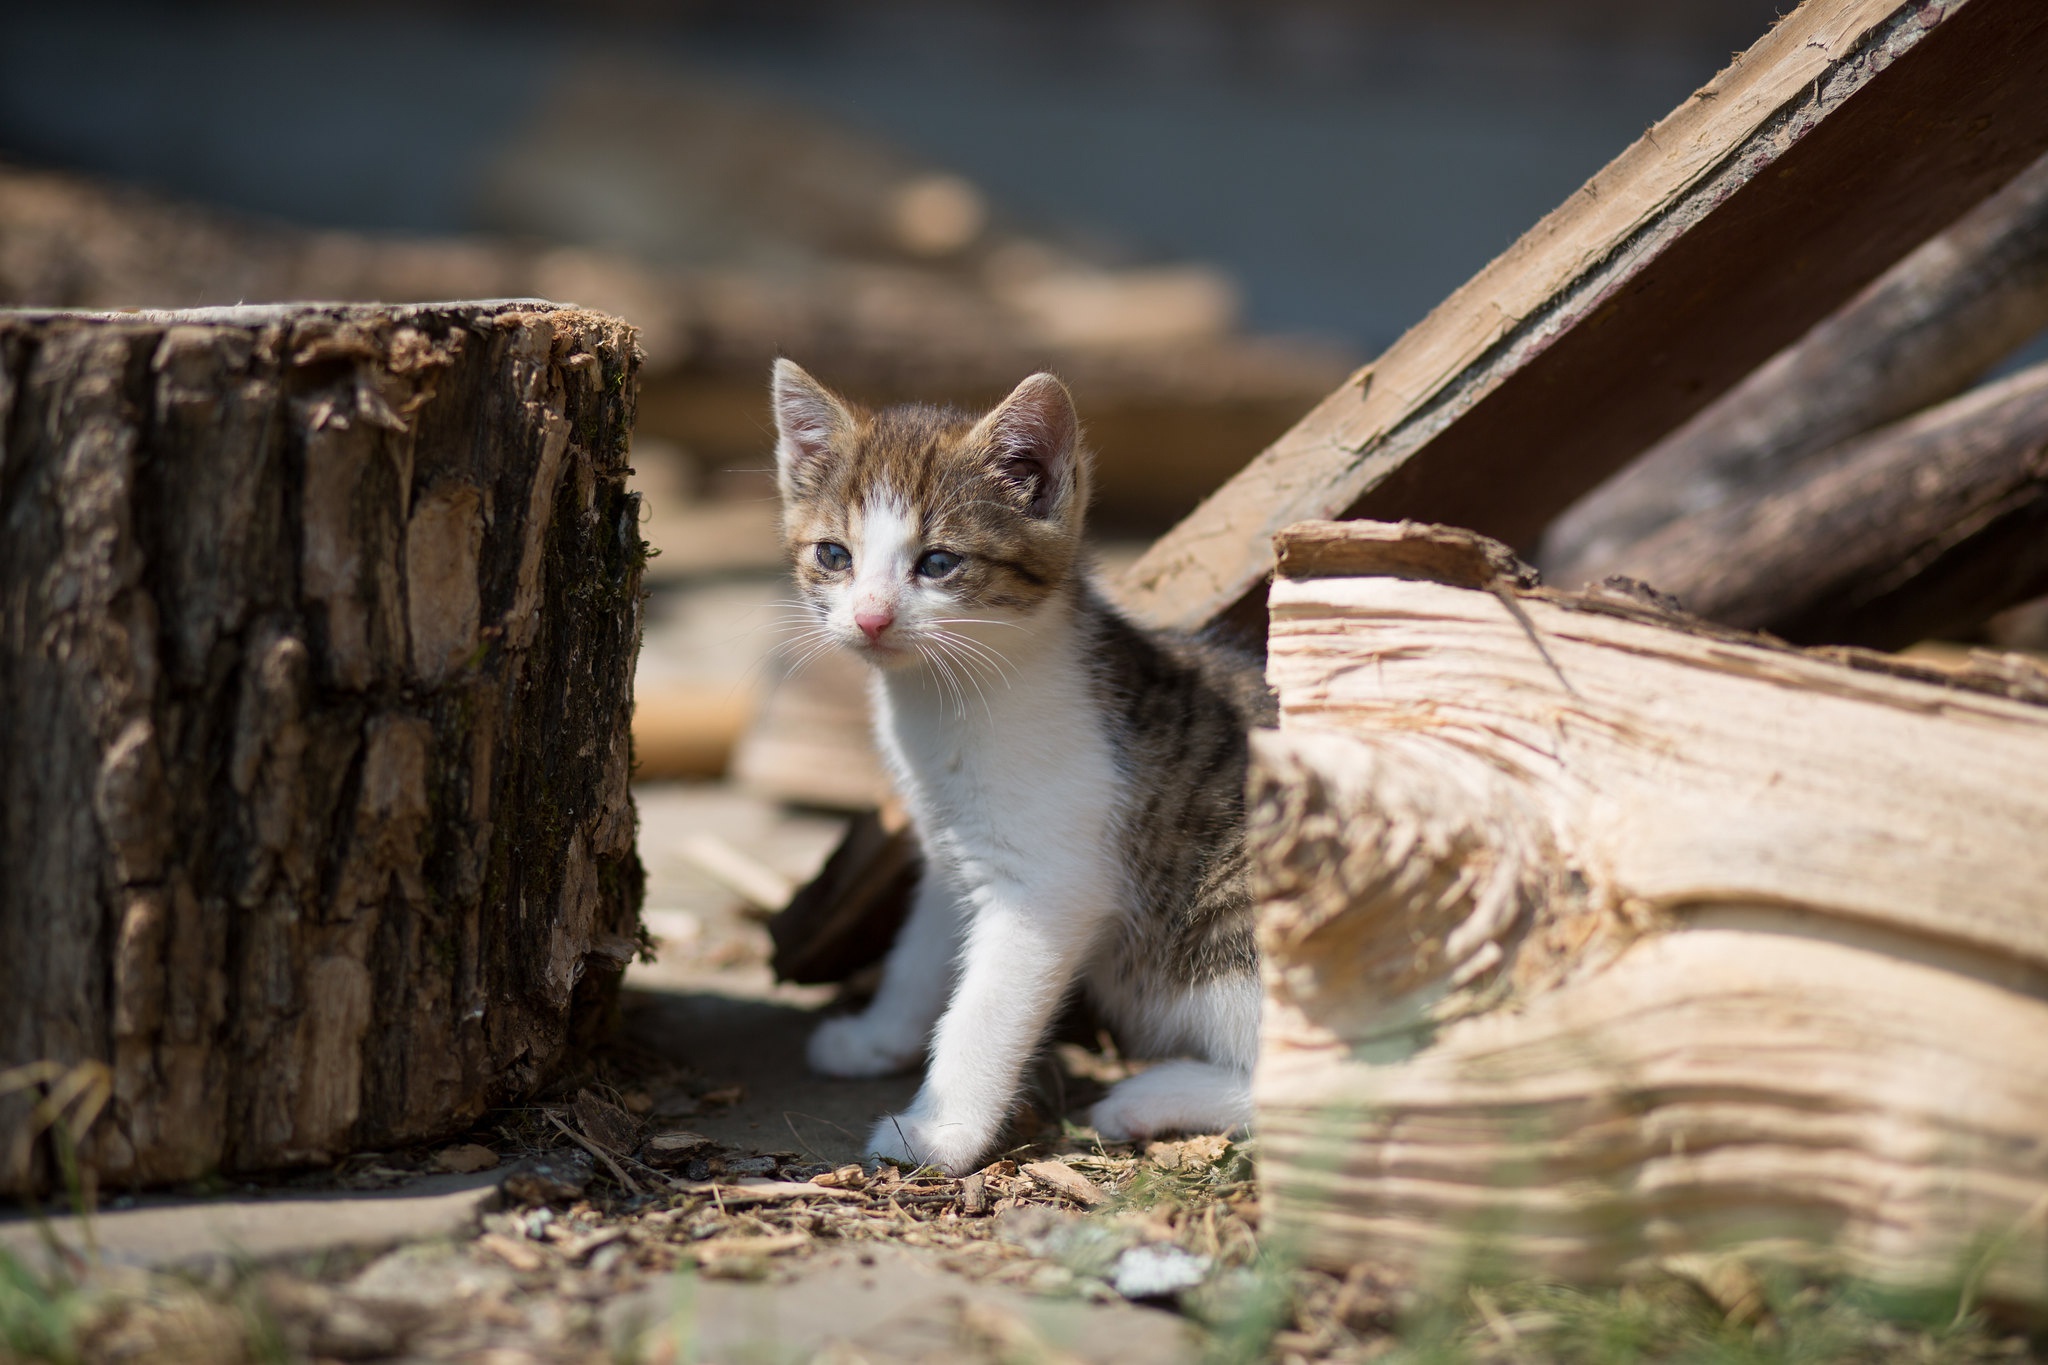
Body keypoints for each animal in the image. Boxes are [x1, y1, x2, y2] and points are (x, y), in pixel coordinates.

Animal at [774, 360, 1269, 1178]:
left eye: (938, 562)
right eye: (834, 555)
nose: (871, 617)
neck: (943, 704)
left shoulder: (1049, 887)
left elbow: (983, 1012)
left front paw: (936, 1133)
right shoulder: (948, 845)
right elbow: (919, 955)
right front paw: (877, 1036)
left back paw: (1150, 1095)